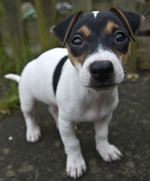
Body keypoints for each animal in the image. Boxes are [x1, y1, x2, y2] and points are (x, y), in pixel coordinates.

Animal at [5, 6, 145, 178]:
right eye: (76, 40)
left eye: (120, 37)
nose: (101, 69)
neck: (91, 96)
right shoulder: (67, 122)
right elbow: (72, 143)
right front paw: (75, 163)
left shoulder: (105, 116)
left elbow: (101, 134)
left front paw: (105, 149)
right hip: (27, 99)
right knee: (29, 115)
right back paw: (32, 132)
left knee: (53, 110)